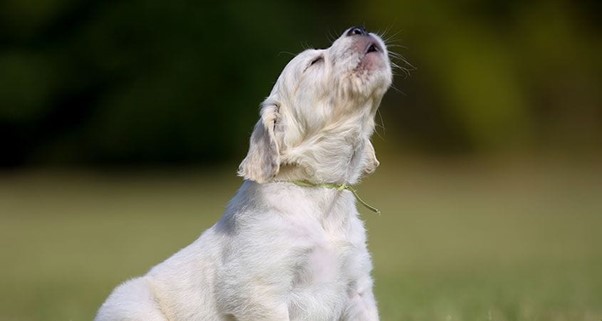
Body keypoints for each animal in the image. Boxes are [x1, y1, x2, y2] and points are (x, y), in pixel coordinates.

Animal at [95, 26, 392, 320]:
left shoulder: (358, 289)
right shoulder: (261, 292)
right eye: (314, 62)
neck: (319, 191)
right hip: (133, 303)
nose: (359, 29)